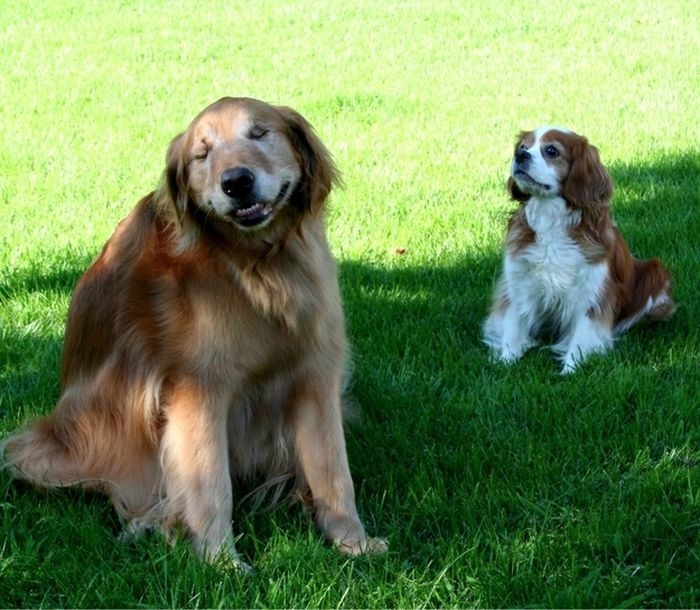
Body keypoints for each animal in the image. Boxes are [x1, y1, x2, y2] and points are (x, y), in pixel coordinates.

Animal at [1, 95, 388, 564]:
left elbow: (334, 473)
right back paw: (151, 522)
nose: (236, 182)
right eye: (202, 154)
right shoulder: (198, 389)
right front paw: (220, 562)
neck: (257, 265)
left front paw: (352, 543)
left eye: (260, 133)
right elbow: (210, 484)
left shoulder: (316, 377)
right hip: (54, 447)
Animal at [484, 125, 676, 370]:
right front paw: (505, 363)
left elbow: (582, 335)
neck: (550, 221)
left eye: (551, 151)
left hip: (654, 272)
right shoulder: (517, 282)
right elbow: (513, 325)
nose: (520, 156)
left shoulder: (592, 293)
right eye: (523, 147)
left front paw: (570, 370)